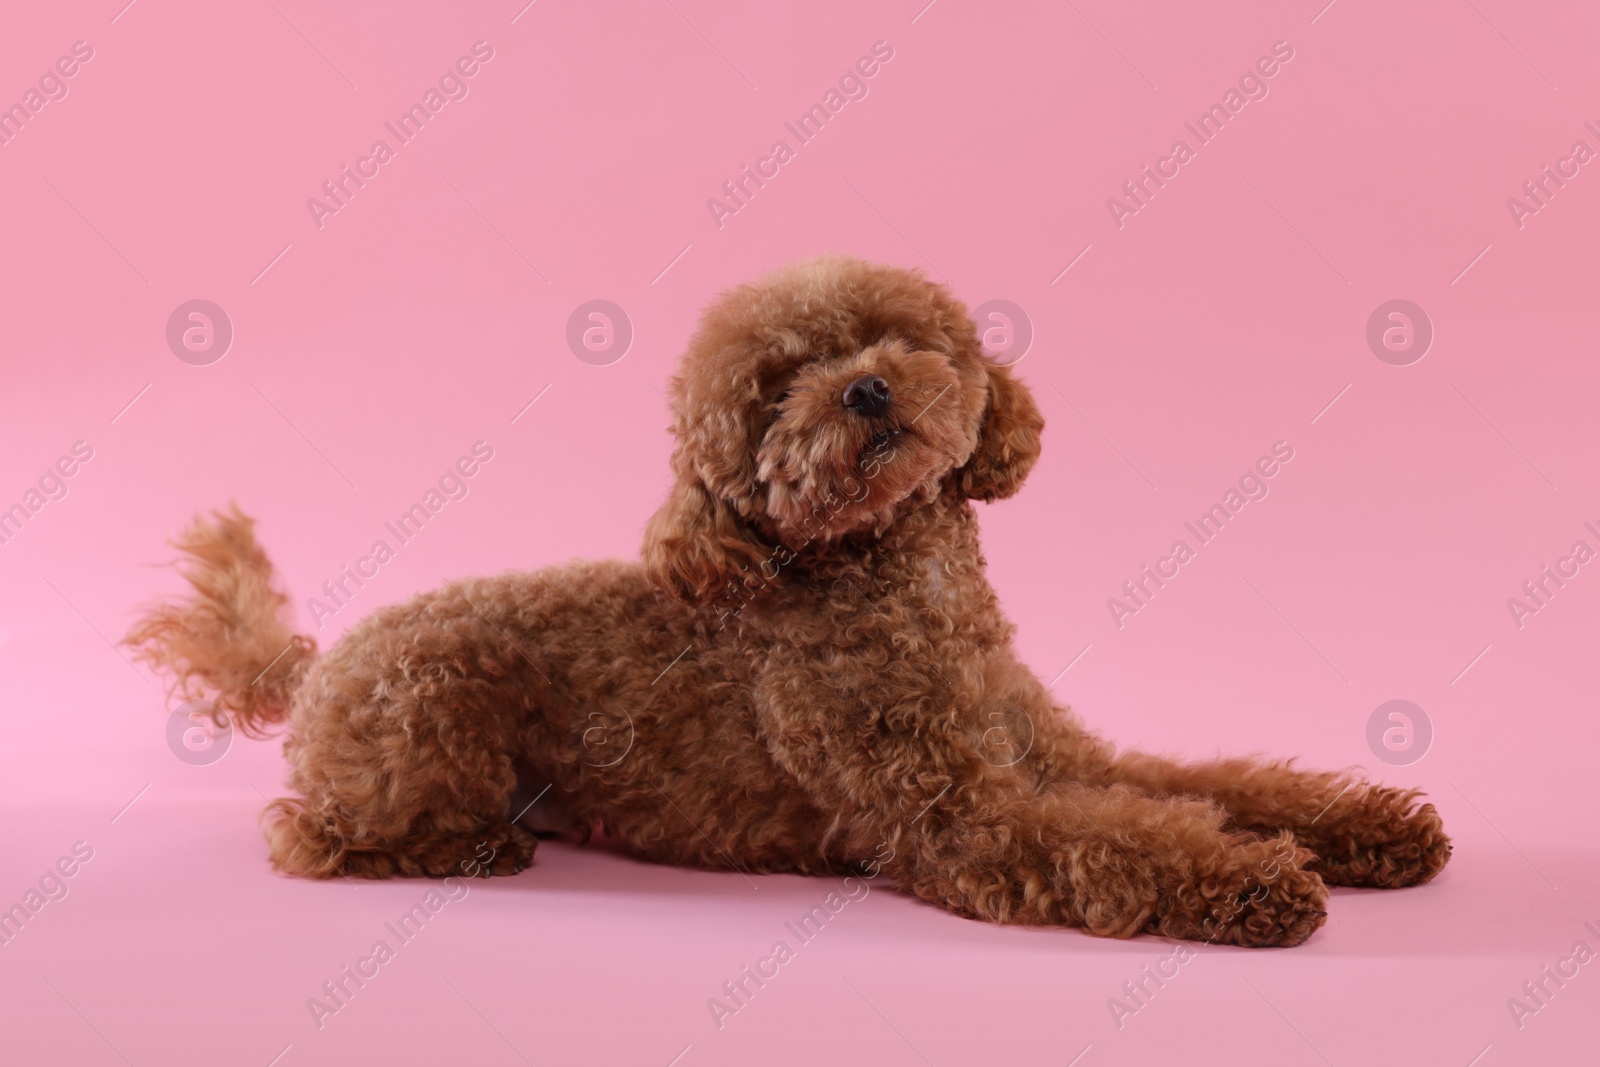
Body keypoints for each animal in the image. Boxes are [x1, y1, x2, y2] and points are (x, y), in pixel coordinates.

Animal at [124, 254, 1452, 947]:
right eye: (776, 389)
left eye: (883, 335)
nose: (862, 389)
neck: (904, 589)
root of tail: (316, 661)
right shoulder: (963, 816)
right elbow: (1120, 840)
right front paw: (1264, 882)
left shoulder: (1062, 755)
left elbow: (1212, 782)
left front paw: (1373, 826)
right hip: (426, 717)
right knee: (309, 834)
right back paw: (470, 845)